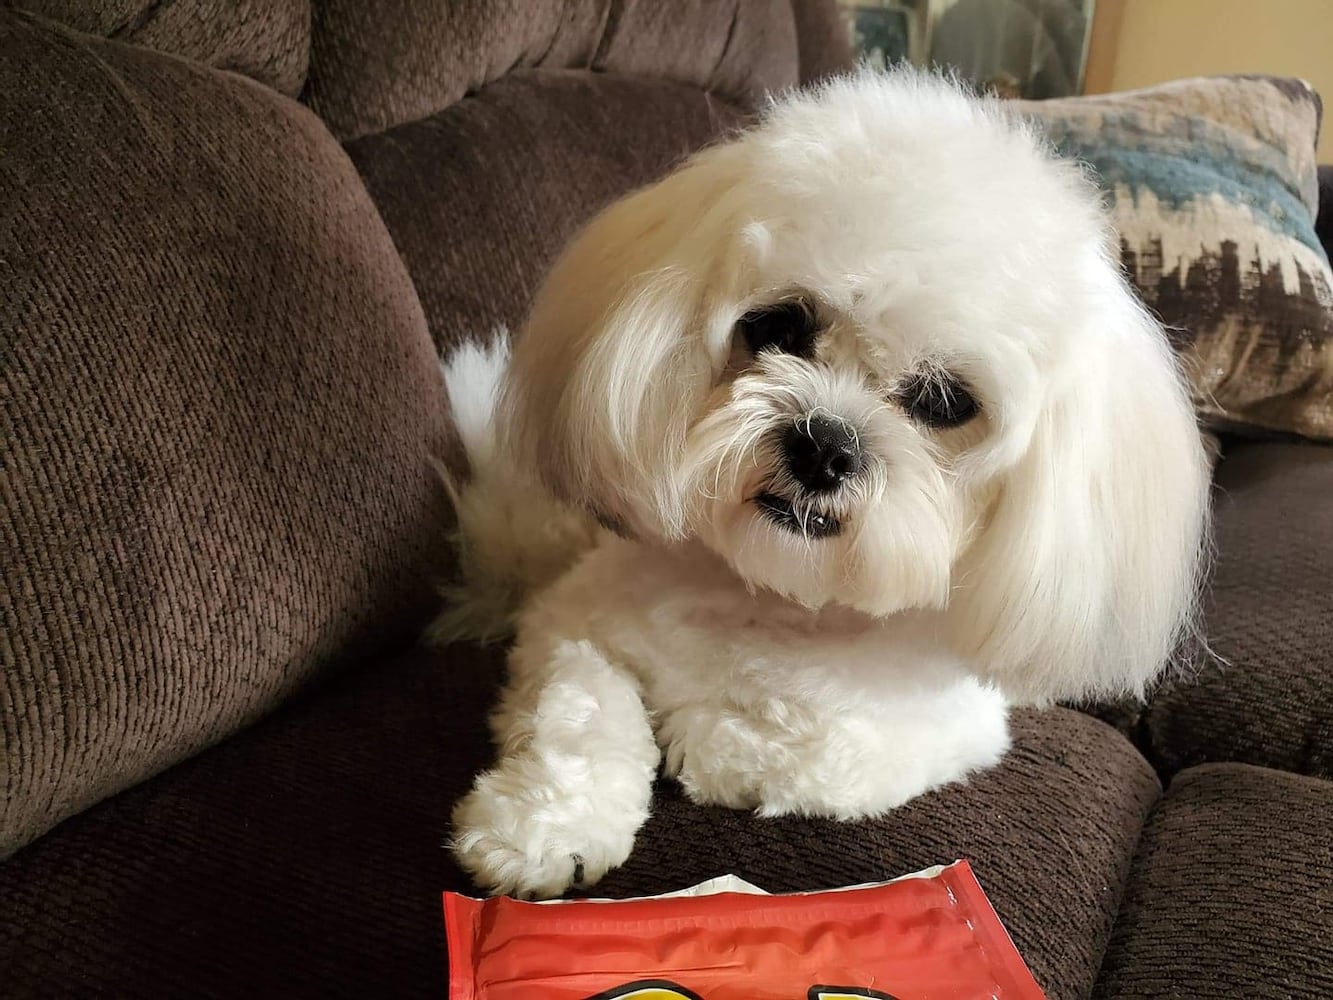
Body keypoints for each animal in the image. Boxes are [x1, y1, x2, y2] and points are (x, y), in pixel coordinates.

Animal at [434, 68, 1210, 901]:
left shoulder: (936, 729)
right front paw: (543, 827)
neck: (780, 595)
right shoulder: (569, 619)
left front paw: (706, 734)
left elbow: (808, 751)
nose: (823, 445)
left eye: (946, 401)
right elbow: (579, 707)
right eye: (779, 327)